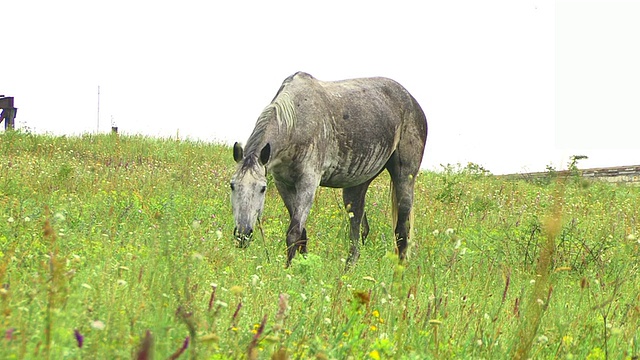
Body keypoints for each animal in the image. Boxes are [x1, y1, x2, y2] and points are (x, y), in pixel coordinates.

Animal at [228, 71, 428, 268]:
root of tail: (412, 101)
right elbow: (302, 233)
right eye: (232, 186)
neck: (297, 121)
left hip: (404, 177)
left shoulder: (308, 183)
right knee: (358, 229)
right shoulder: (283, 184)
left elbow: (293, 233)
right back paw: (348, 271)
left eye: (262, 189)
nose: (243, 235)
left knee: (401, 230)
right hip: (357, 185)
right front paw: (303, 266)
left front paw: (288, 271)